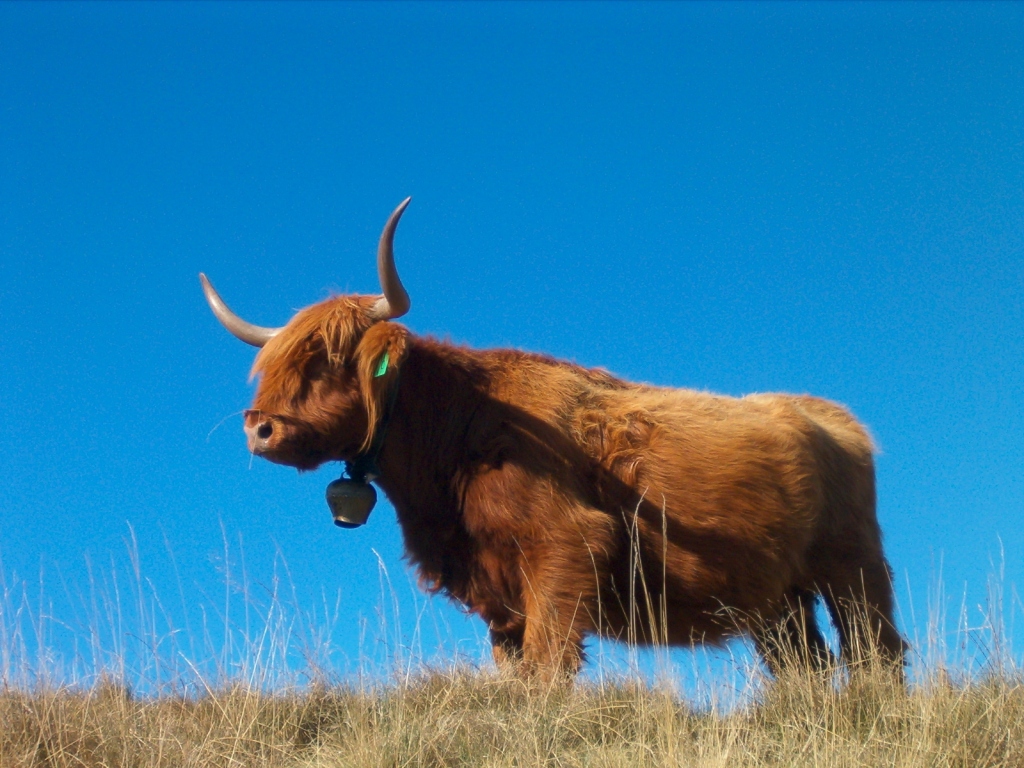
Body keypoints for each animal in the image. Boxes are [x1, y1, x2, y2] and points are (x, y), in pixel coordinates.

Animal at [200, 199, 905, 680]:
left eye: (328, 359)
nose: (258, 427)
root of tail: (827, 415)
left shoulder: (566, 553)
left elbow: (547, 668)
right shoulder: (497, 595)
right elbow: (516, 675)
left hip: (852, 565)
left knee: (877, 650)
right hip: (776, 597)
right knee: (806, 665)